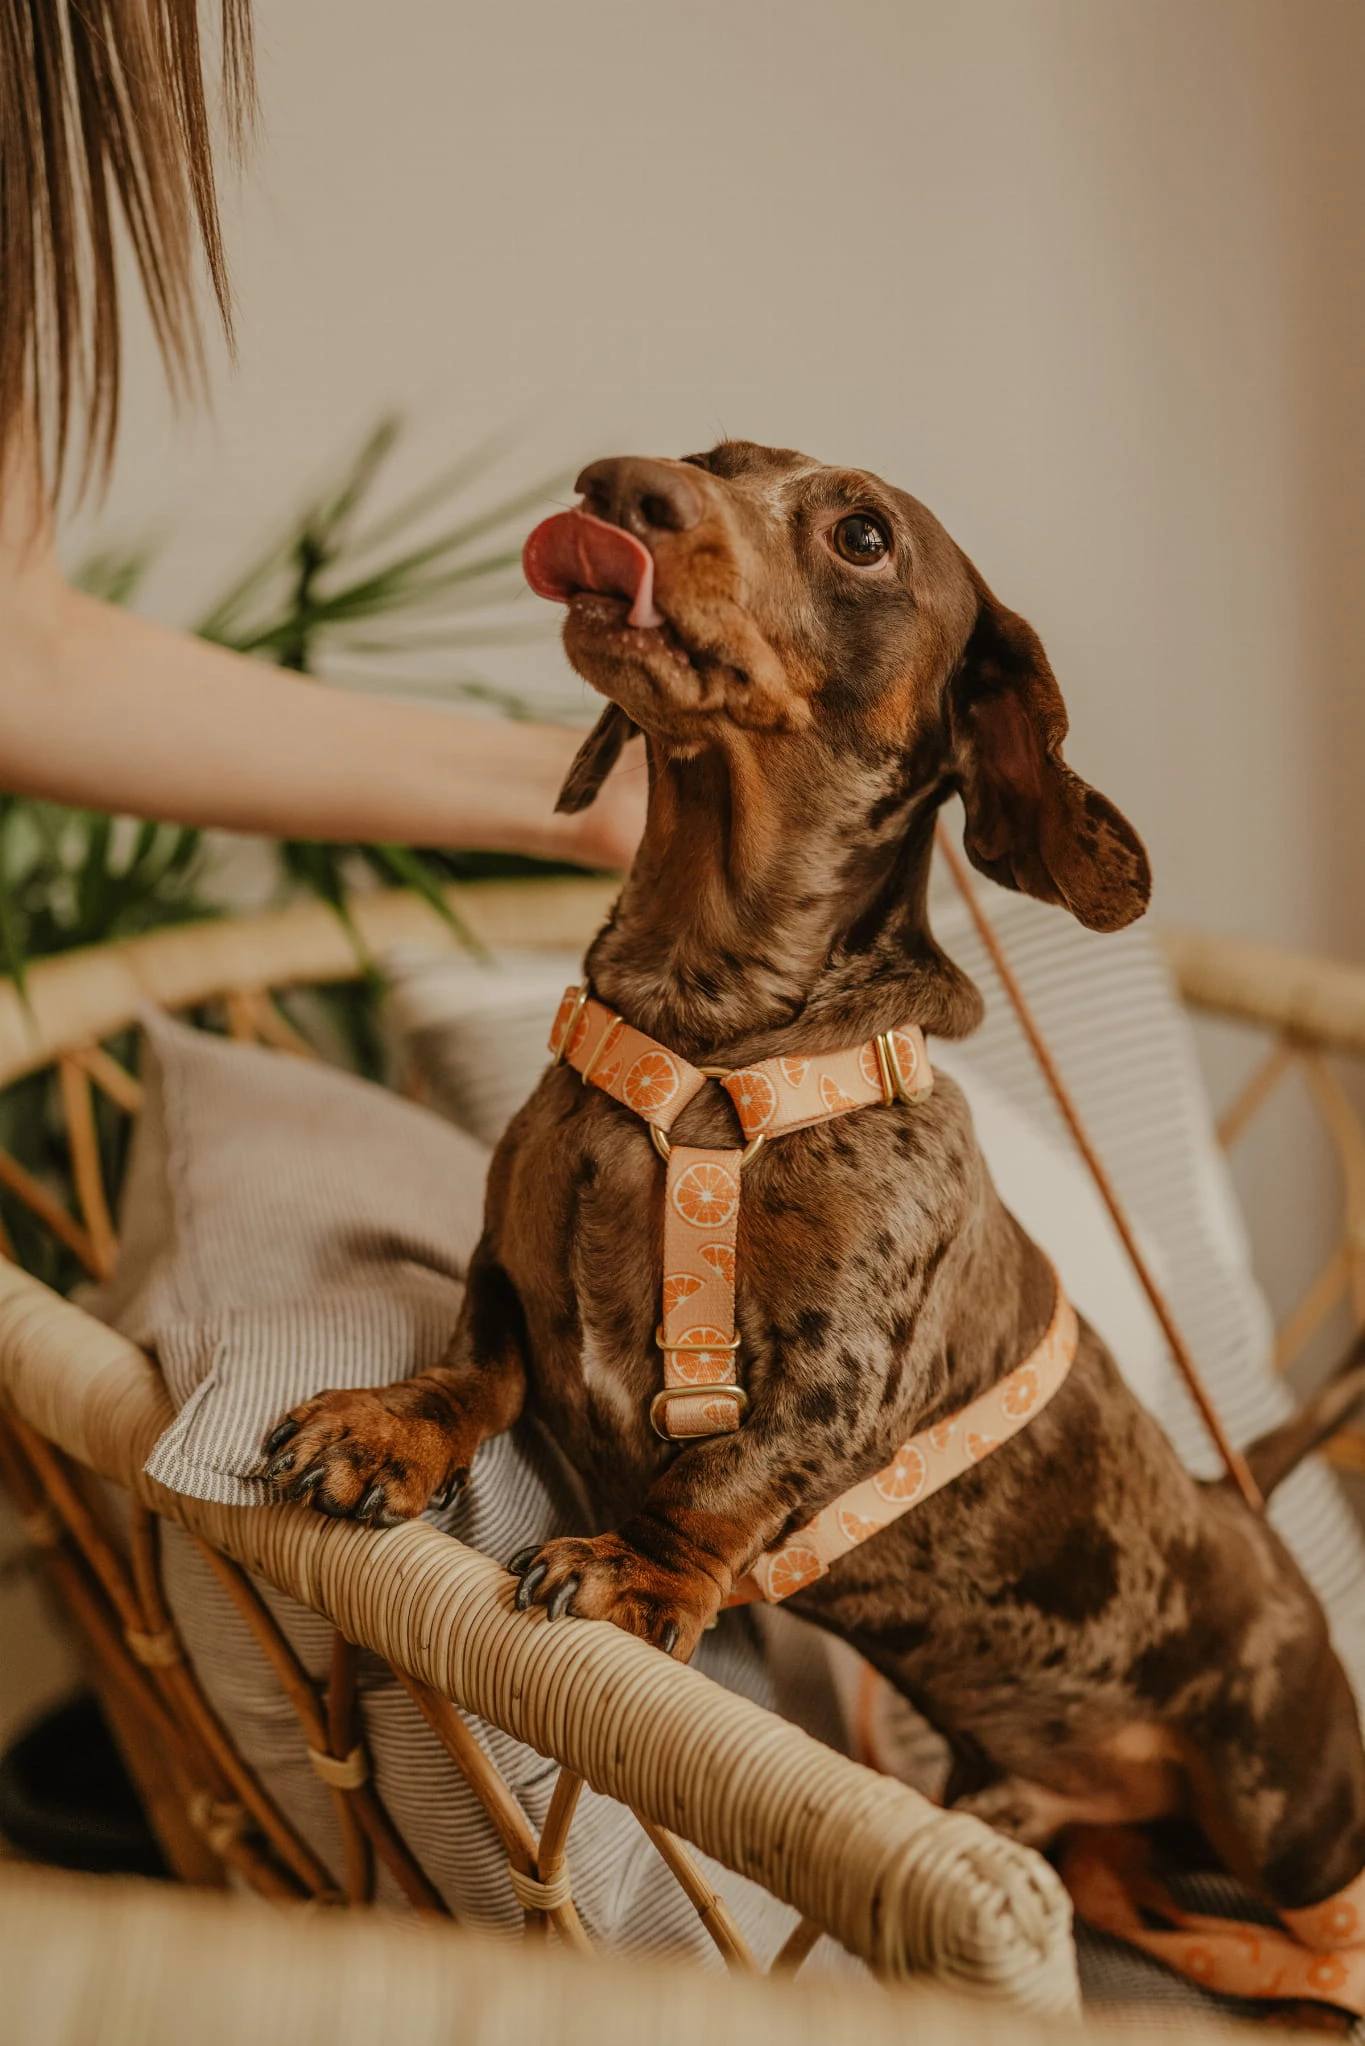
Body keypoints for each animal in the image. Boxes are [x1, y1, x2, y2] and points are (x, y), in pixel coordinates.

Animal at [263, 440, 1365, 1929]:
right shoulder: (507, 1269)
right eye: (711, 456)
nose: (614, 488)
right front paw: (388, 1428)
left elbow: (720, 1478)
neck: (705, 1035)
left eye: (862, 534)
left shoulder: (838, 1380)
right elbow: (474, 1363)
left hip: (1295, 1822)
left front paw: (632, 1571)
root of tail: (1235, 1505)